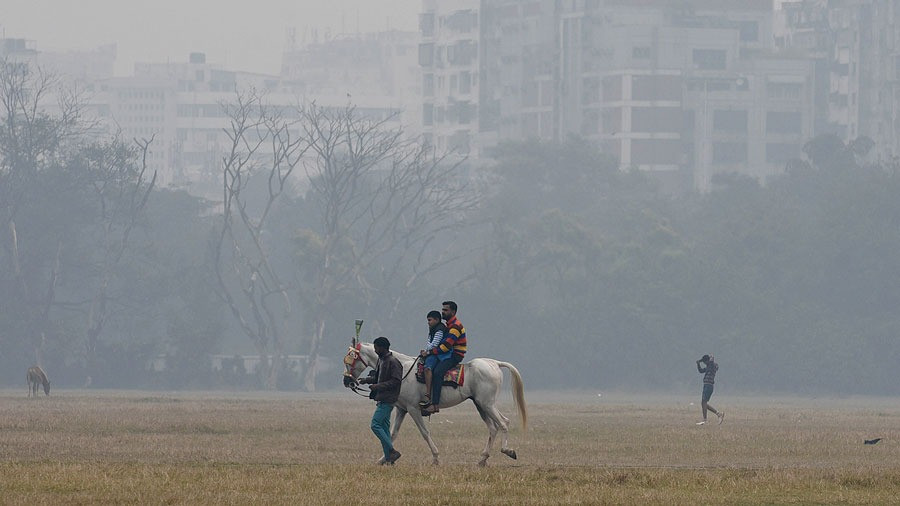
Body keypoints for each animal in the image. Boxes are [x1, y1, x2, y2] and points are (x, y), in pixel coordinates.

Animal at [342, 340, 528, 466]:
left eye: (350, 360)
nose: (347, 381)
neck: (403, 369)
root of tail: (494, 363)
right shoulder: (402, 409)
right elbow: (392, 434)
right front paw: (384, 459)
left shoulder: (413, 409)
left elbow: (425, 432)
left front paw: (436, 458)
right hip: (481, 405)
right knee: (493, 427)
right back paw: (482, 459)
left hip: (487, 404)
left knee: (503, 423)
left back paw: (508, 451)